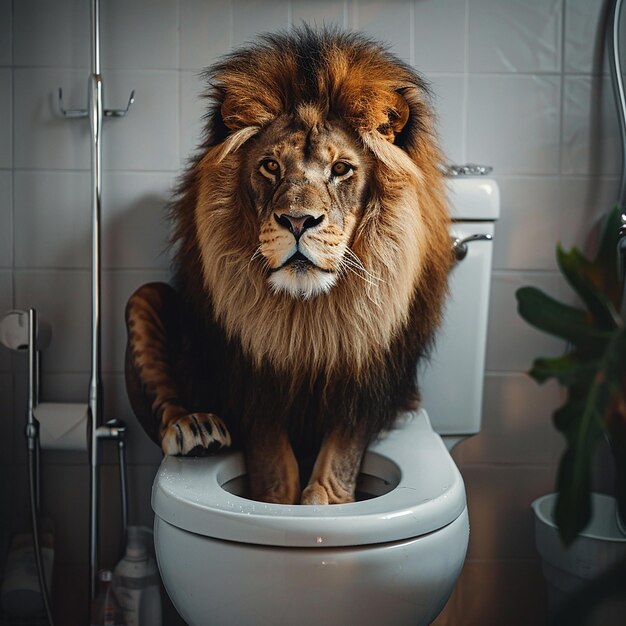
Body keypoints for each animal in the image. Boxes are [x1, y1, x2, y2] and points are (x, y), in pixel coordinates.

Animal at [124, 26, 450, 504]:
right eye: (271, 166)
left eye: (341, 169)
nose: (298, 221)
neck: (305, 319)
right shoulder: (253, 384)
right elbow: (276, 472)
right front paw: (276, 504)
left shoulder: (365, 383)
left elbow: (334, 469)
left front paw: (321, 507)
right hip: (145, 297)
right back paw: (195, 429)